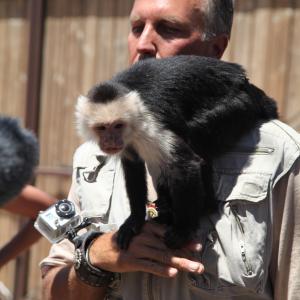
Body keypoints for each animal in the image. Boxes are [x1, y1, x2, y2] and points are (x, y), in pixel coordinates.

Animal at [76, 55, 278, 250]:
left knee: (194, 134)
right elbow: (133, 166)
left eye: (118, 126)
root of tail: (243, 79)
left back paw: (204, 207)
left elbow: (185, 165)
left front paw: (182, 231)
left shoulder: (149, 124)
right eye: (102, 128)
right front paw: (135, 221)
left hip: (238, 105)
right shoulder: (128, 141)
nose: (111, 140)